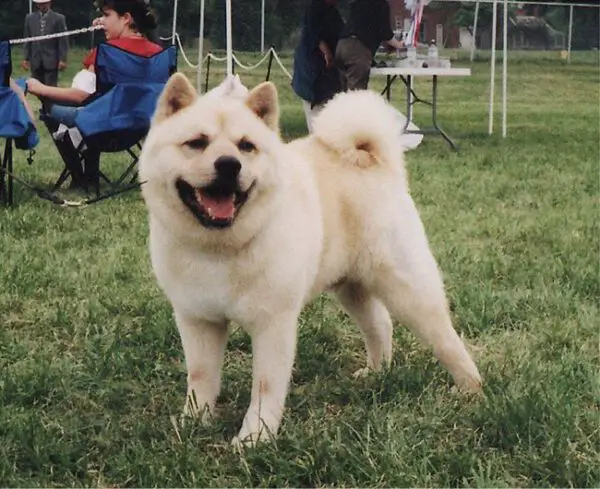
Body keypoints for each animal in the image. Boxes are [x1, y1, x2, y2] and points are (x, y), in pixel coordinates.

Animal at [138, 73, 480, 446]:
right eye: (196, 143)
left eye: (246, 146)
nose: (229, 165)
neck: (221, 247)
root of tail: (371, 159)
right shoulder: (198, 320)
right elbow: (200, 377)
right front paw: (194, 422)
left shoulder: (273, 325)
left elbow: (265, 385)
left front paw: (255, 436)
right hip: (351, 287)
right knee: (380, 324)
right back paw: (377, 372)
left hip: (407, 290)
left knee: (445, 338)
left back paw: (470, 389)